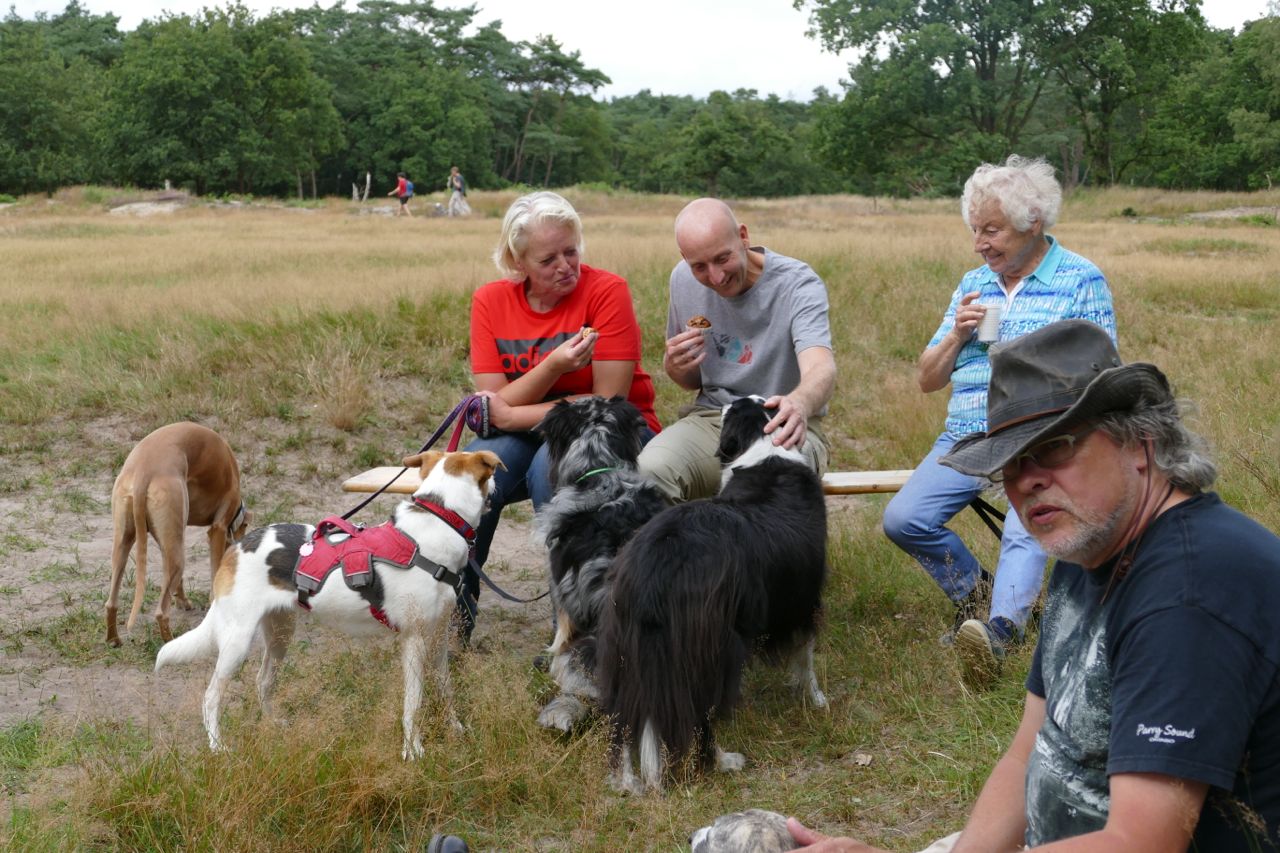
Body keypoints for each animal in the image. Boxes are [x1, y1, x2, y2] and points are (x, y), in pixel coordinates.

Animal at [106, 422, 249, 646]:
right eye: (246, 527)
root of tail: (143, 472)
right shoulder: (217, 529)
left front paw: (183, 601)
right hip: (176, 553)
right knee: (160, 613)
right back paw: (169, 642)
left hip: (128, 543)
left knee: (111, 602)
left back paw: (114, 639)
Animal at [154, 449, 503, 760]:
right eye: (491, 475)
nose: (498, 486)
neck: (438, 523)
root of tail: (237, 546)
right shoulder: (414, 641)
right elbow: (412, 704)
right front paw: (413, 751)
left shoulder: (439, 636)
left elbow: (446, 688)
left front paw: (456, 729)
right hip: (237, 642)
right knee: (211, 697)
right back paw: (217, 746)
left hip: (280, 633)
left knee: (263, 681)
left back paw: (272, 724)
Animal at [597, 395, 829, 794]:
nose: (726, 400)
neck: (765, 450)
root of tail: (655, 566)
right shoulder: (804, 597)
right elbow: (806, 656)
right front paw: (814, 699)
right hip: (710, 645)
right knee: (699, 714)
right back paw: (724, 761)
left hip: (623, 645)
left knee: (623, 715)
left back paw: (626, 781)